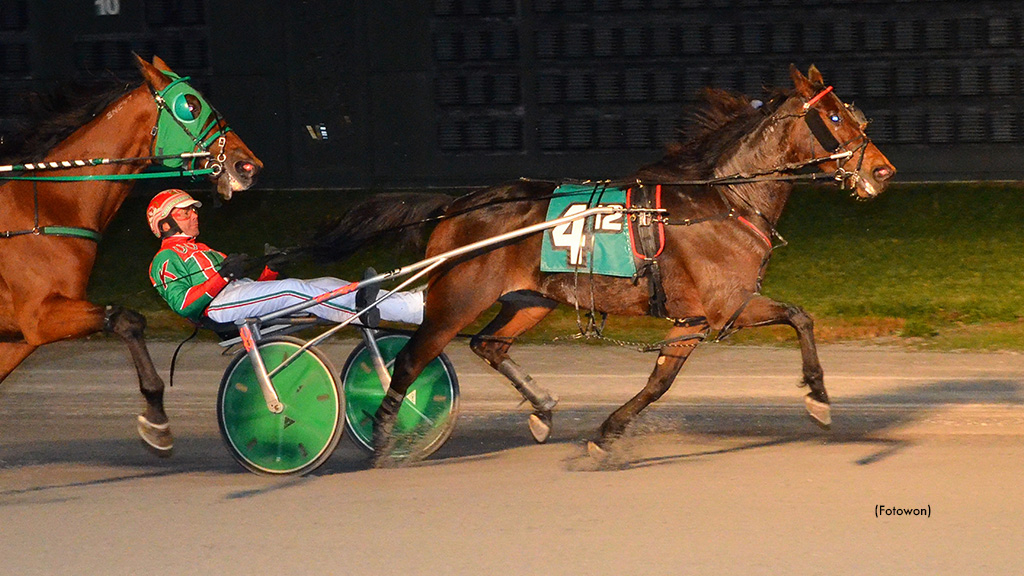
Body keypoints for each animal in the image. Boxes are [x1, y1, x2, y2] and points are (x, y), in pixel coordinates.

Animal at [0, 53, 262, 450]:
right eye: (191, 104)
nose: (248, 165)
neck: (47, 207)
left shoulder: (17, 337)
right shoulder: (38, 317)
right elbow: (127, 319)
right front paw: (156, 415)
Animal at [315, 63, 892, 457]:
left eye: (855, 113)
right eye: (834, 116)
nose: (883, 171)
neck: (723, 199)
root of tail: (459, 206)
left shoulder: (714, 311)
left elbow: (791, 320)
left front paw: (818, 396)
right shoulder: (714, 309)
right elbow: (674, 376)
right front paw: (608, 433)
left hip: (532, 299)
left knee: (488, 343)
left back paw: (541, 408)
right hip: (457, 298)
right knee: (412, 360)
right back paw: (386, 441)